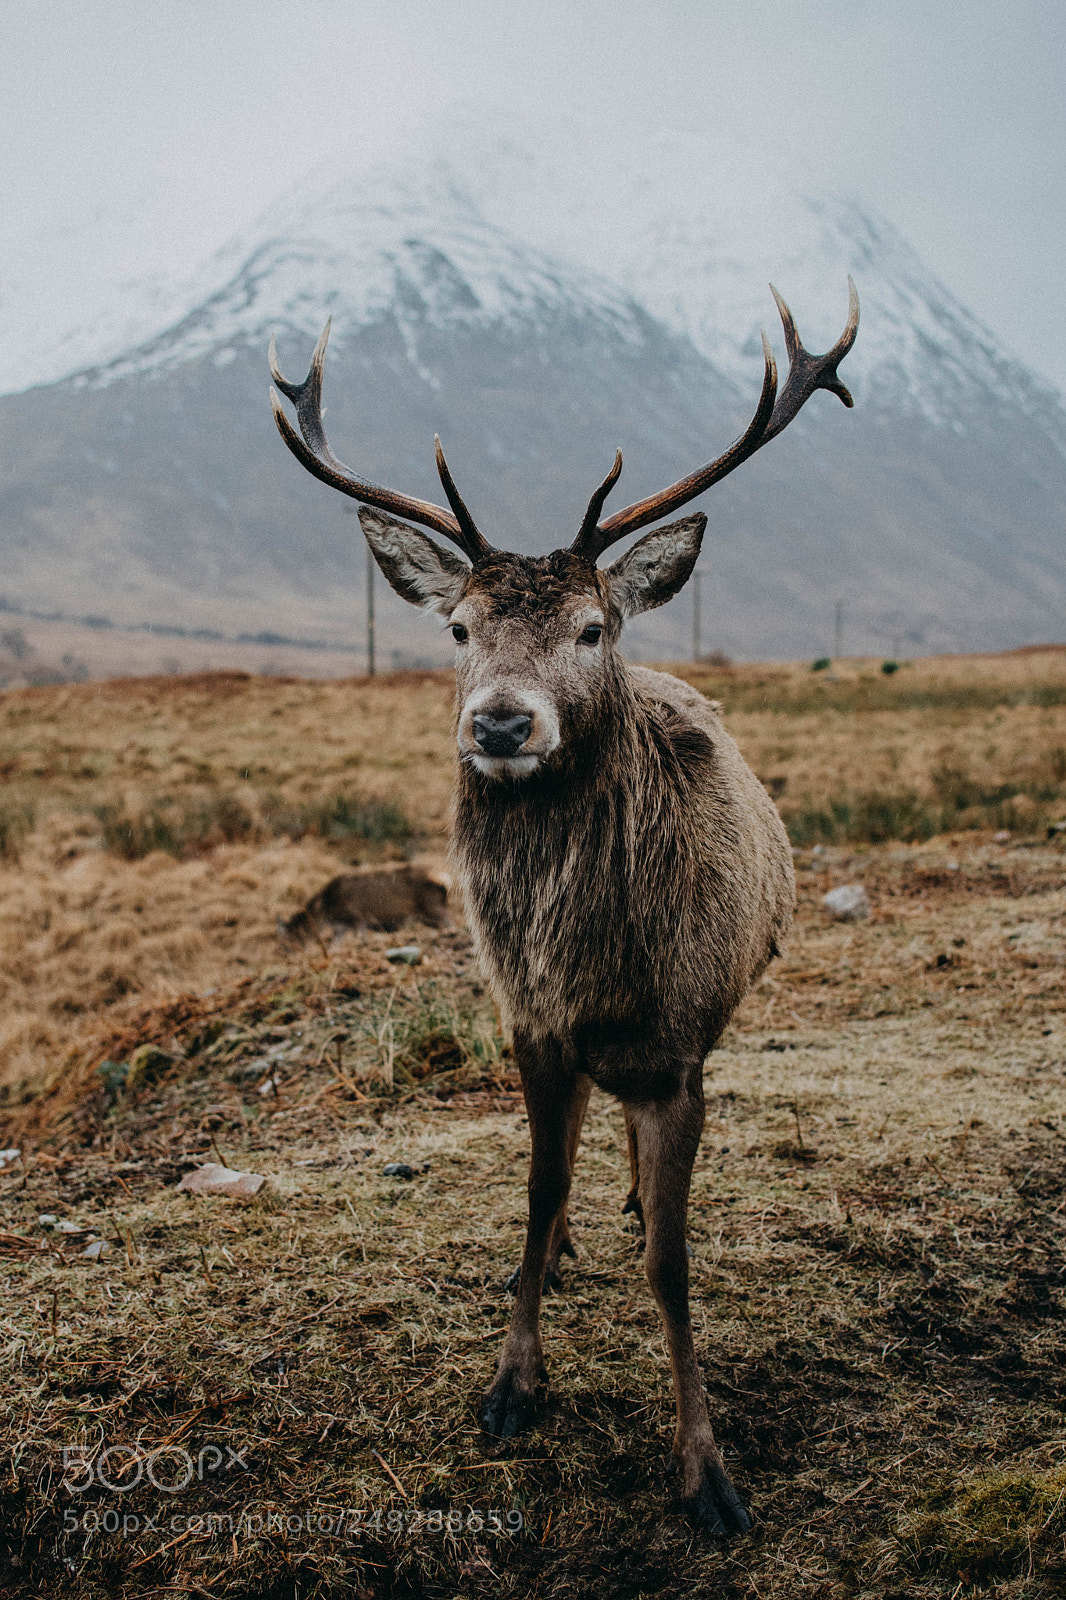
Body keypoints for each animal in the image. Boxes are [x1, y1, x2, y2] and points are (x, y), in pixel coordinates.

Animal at [268, 278, 858, 1535]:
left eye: (591, 628)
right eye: (457, 628)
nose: (499, 721)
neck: (591, 957)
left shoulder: (680, 1052)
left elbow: (674, 1265)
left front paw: (706, 1470)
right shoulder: (527, 1025)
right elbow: (534, 1196)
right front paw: (511, 1378)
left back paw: (629, 1207)